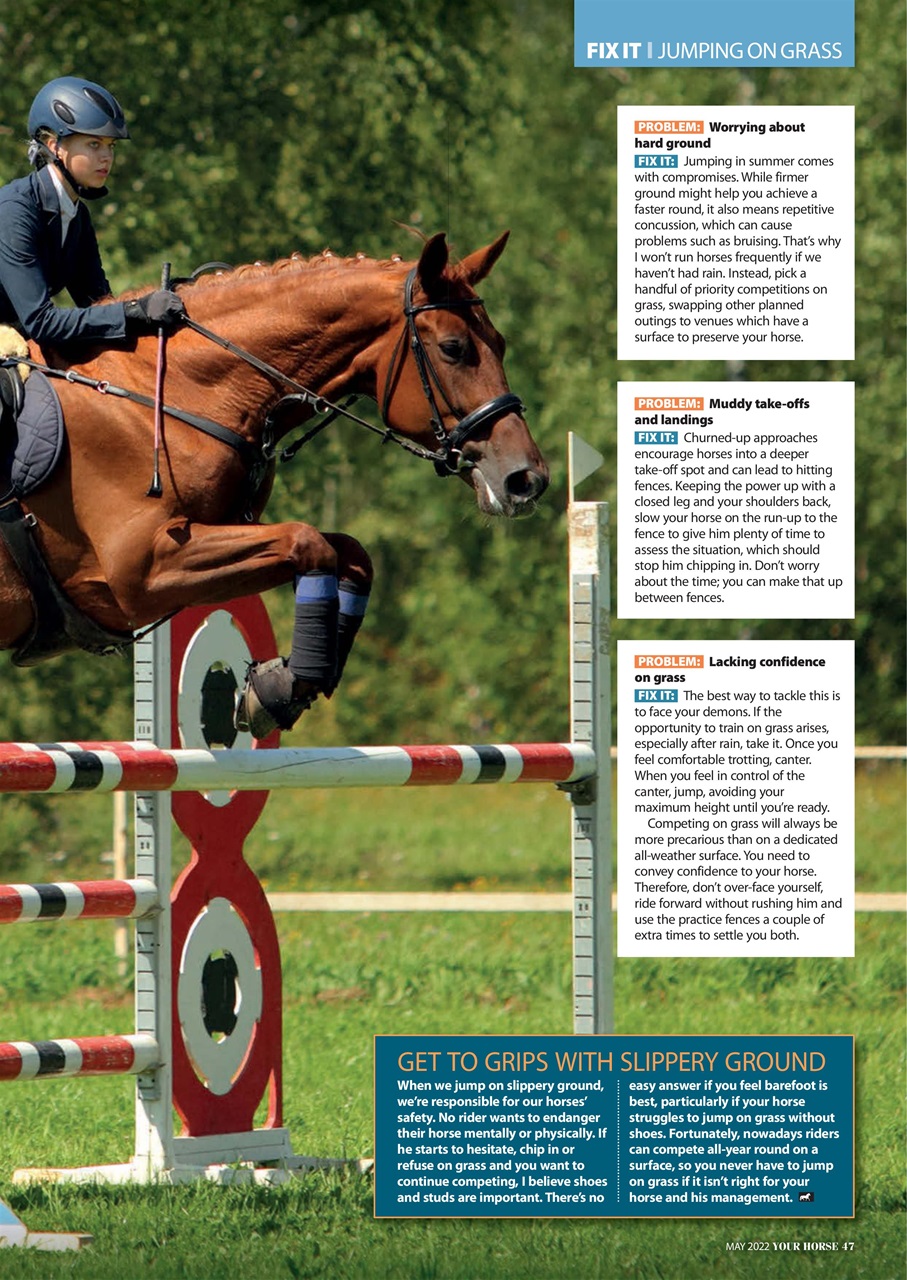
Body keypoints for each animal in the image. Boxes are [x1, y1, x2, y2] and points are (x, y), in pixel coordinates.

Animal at [0, 231, 549, 734]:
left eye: (500, 344)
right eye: (453, 348)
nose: (528, 479)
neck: (171, 393)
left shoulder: (222, 532)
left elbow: (349, 553)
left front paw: (286, 685)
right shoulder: (142, 572)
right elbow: (307, 542)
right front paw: (282, 688)